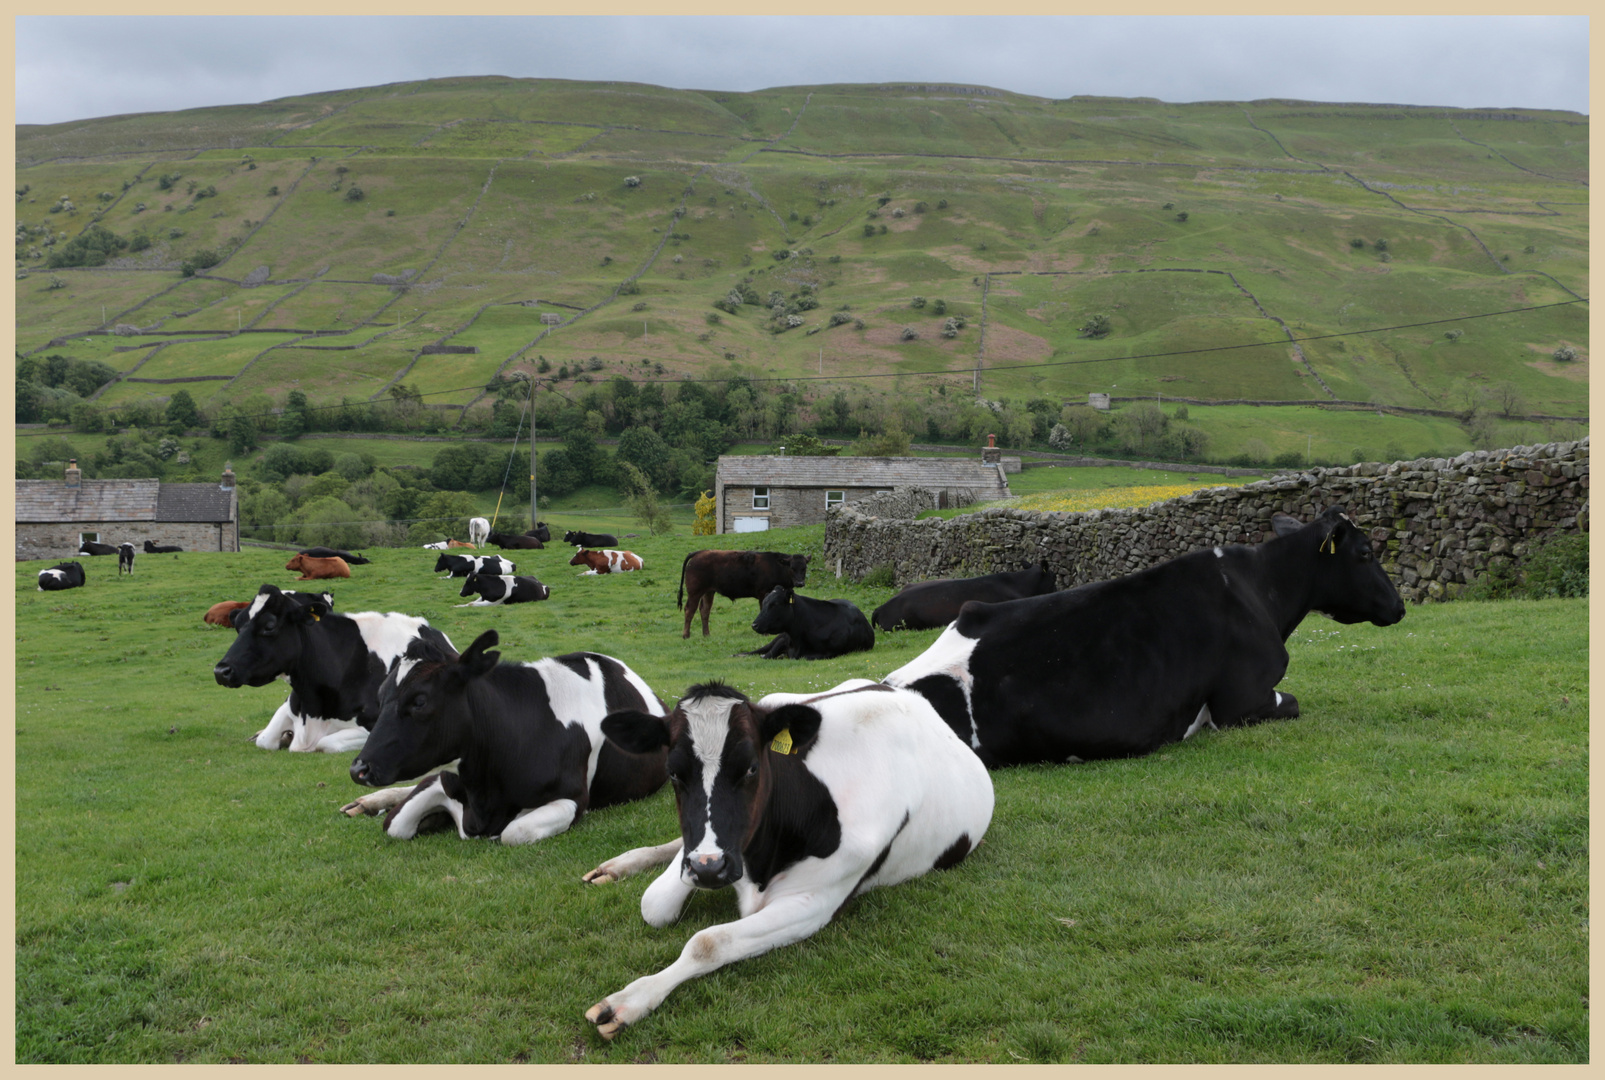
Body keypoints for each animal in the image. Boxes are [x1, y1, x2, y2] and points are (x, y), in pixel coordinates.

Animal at [213, 584, 452, 754]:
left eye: (269, 626)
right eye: (238, 626)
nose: (221, 671)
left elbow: (326, 743)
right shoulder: (289, 706)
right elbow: (264, 740)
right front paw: (282, 737)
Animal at [341, 629, 667, 847]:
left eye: (419, 701)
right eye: (381, 696)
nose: (358, 769)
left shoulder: (573, 798)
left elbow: (514, 832)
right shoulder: (444, 780)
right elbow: (395, 823)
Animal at [674, 552, 808, 635]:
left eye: (804, 568)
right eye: (792, 567)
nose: (800, 583)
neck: (776, 566)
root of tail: (700, 553)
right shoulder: (763, 594)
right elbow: (763, 610)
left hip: (708, 592)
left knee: (705, 611)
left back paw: (706, 634)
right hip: (694, 593)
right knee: (689, 610)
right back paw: (686, 635)